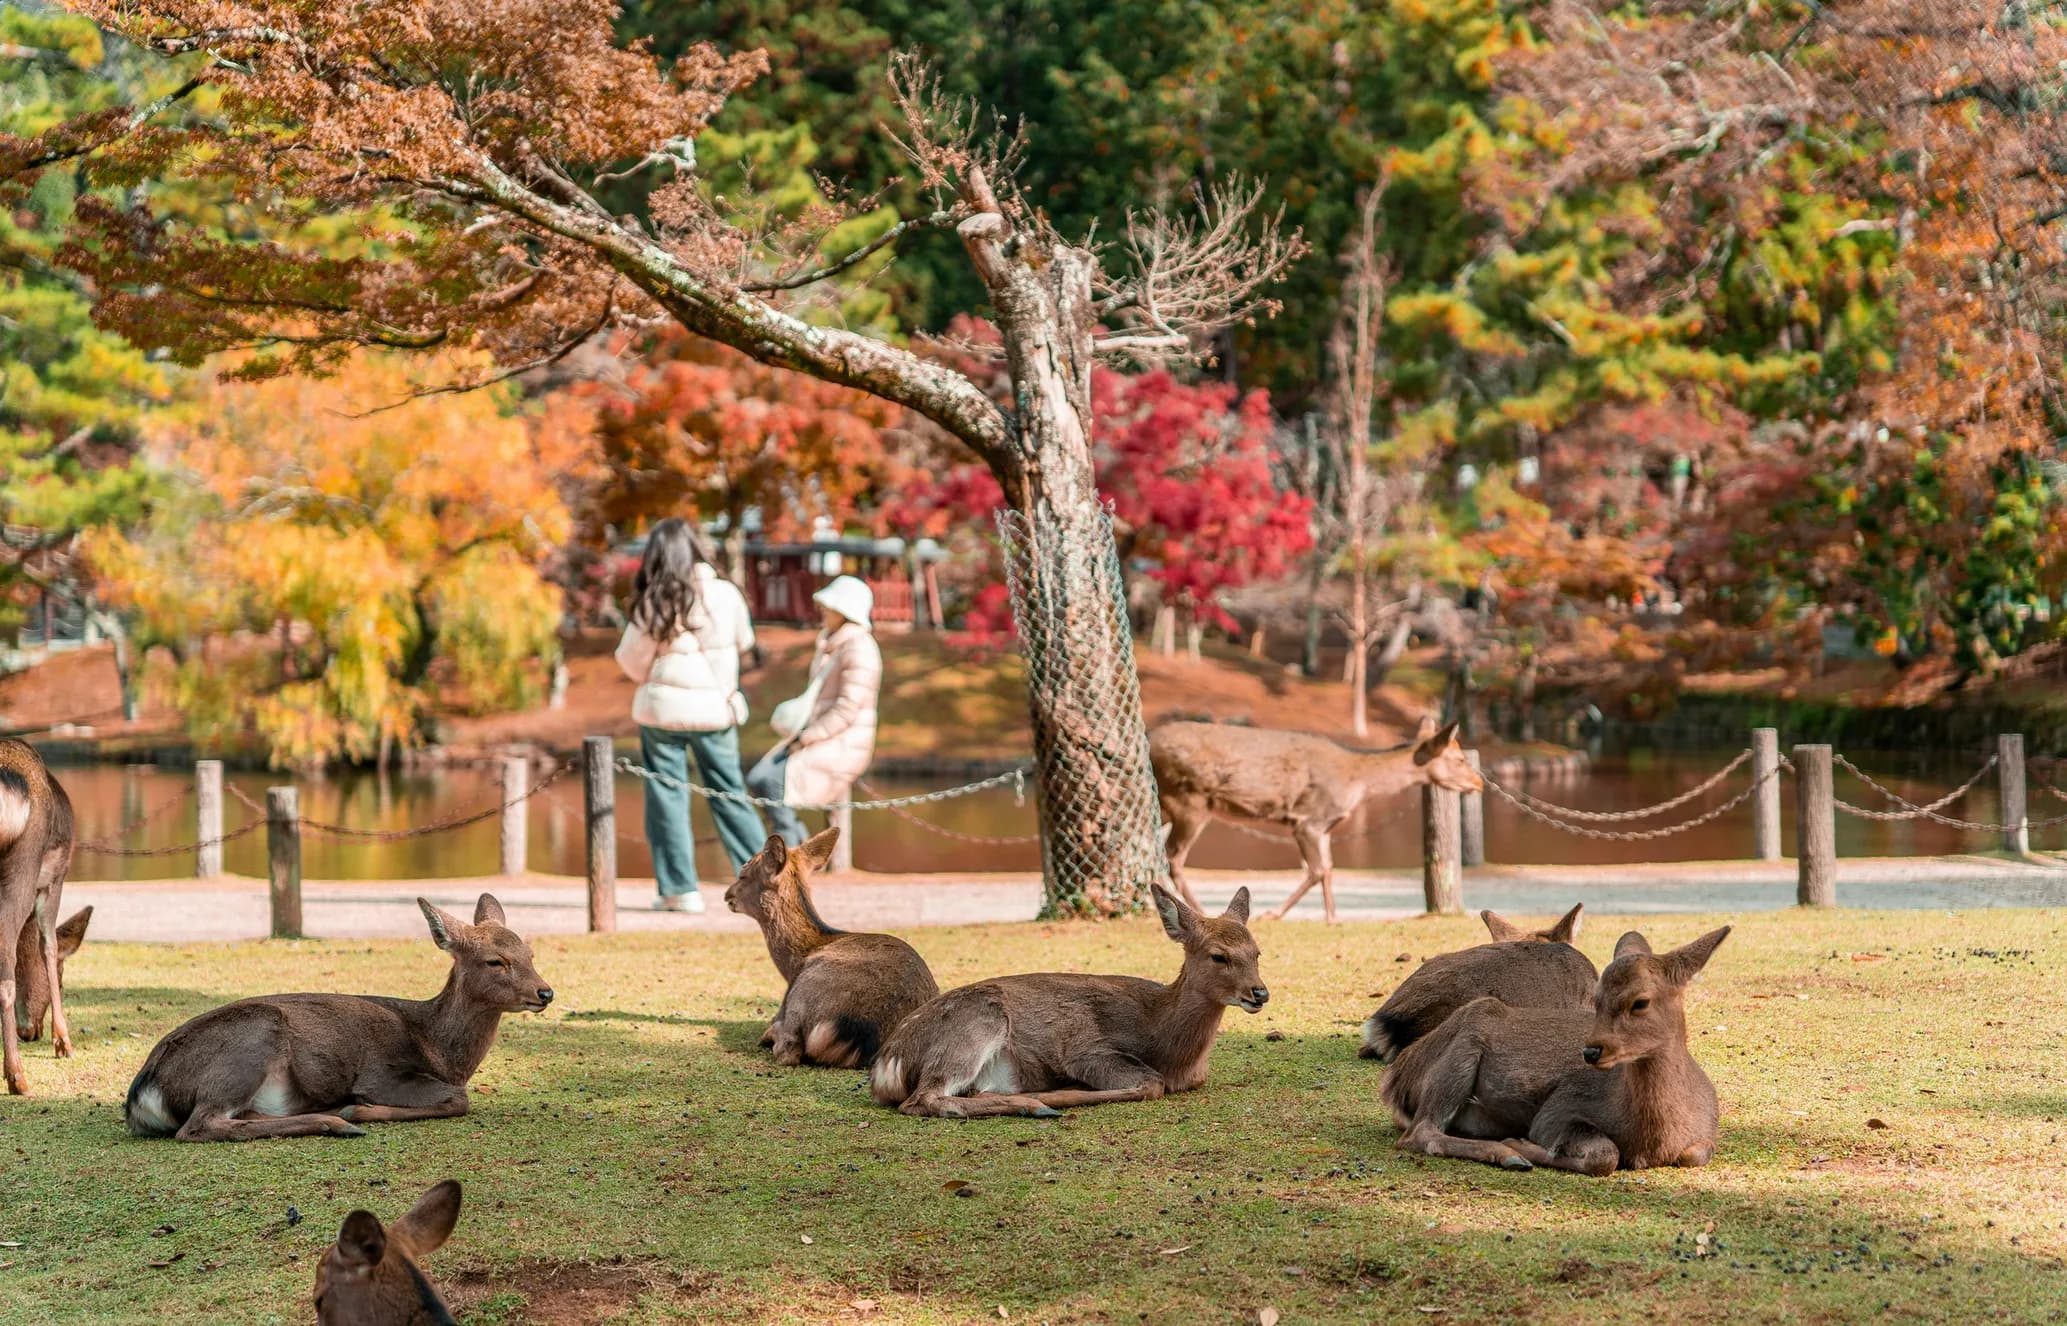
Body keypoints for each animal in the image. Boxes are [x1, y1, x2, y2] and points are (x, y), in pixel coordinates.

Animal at [124, 894, 552, 1142]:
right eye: (496, 961)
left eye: (531, 953)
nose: (545, 992)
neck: (438, 1049)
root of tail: (142, 1094)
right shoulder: (381, 1073)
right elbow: (459, 1099)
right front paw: (358, 1109)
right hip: (252, 1039)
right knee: (198, 1126)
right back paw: (338, 1122)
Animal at [870, 883, 1266, 1118]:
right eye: (1219, 955)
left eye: (1257, 952)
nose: (1260, 992)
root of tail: (887, 1064)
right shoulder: (1086, 1050)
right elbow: (1152, 1084)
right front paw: (1061, 1094)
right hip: (975, 1025)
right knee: (922, 1099)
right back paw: (1036, 1105)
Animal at [1151, 716, 1483, 924]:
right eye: (1459, 760)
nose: (1479, 783)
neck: (1356, 782)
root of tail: (1149, 741)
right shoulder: (1308, 820)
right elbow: (1317, 869)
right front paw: (1273, 914)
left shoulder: (1325, 825)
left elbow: (1329, 868)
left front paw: (1333, 918)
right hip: (1190, 800)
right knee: (1174, 856)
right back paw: (1200, 910)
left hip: (1170, 803)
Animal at [1381, 925, 1731, 1175]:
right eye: (1597, 998)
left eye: (1640, 1002)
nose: (1591, 1052)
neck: (1652, 1141)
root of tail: (1394, 1082)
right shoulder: (1558, 1109)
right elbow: (1605, 1156)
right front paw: (1521, 1145)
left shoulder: (1705, 1137)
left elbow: (1694, 1153)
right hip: (1459, 1054)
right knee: (1419, 1133)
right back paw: (1507, 1155)